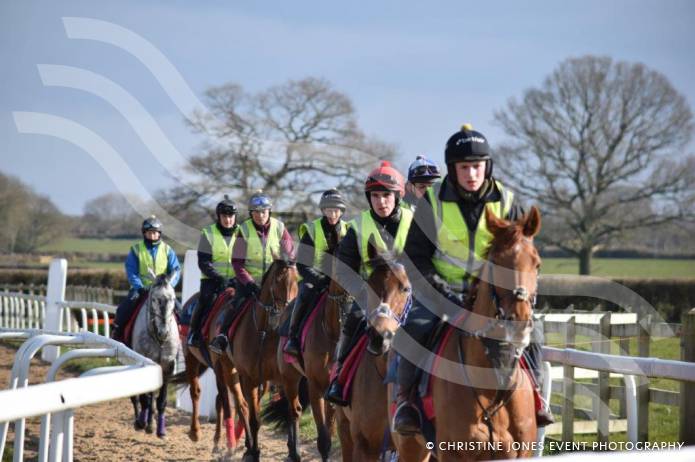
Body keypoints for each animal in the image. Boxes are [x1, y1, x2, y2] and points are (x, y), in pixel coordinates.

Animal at [129, 272, 181, 438]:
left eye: (173, 298)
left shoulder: (167, 366)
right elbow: (144, 398)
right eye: (154, 299)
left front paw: (160, 431)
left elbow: (161, 401)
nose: (164, 332)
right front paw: (142, 423)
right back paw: (140, 421)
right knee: (137, 397)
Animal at [228, 258, 300, 460]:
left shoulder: (285, 378)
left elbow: (291, 411)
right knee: (243, 406)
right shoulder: (250, 379)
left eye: (297, 280)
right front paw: (254, 452)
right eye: (277, 280)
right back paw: (247, 446)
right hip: (232, 372)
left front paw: (293, 451)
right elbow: (254, 418)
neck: (267, 332)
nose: (289, 312)